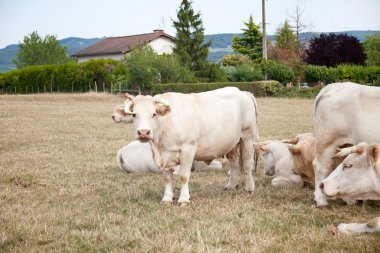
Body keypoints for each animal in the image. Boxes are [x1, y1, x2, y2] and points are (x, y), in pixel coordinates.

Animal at [121, 87, 258, 206]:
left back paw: (250, 188)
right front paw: (167, 199)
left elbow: (183, 176)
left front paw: (184, 199)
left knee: (247, 163)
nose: (144, 132)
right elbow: (167, 178)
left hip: (247, 137)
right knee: (234, 163)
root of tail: (242, 92)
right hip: (232, 143)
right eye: (134, 115)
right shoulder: (165, 154)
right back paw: (231, 186)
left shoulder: (188, 149)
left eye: (154, 114)